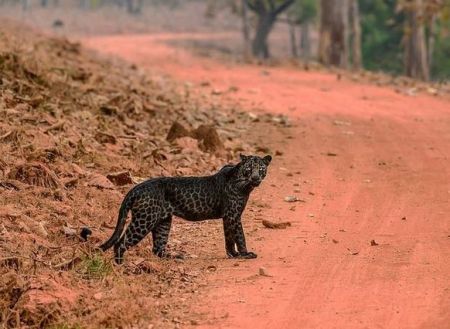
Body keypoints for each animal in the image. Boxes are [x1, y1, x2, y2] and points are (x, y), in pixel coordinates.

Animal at [100, 154, 272, 264]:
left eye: (261, 169)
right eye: (249, 168)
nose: (256, 177)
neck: (244, 184)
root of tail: (136, 188)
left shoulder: (228, 217)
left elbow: (229, 237)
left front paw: (233, 254)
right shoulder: (233, 215)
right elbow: (240, 236)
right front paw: (245, 254)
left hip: (163, 222)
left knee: (158, 248)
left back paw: (175, 257)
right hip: (144, 220)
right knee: (121, 243)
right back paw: (120, 266)